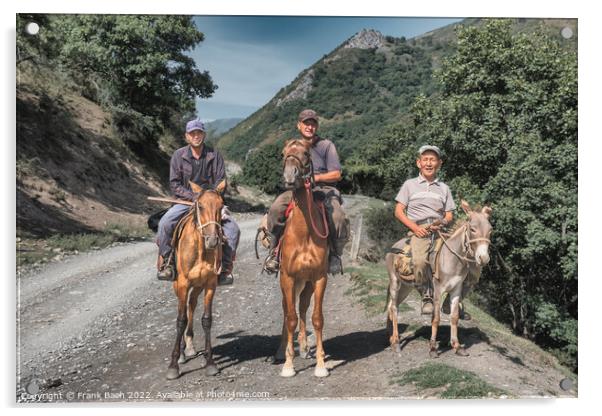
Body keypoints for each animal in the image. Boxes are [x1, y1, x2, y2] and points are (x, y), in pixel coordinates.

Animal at [164, 180, 225, 380]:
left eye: (221, 206)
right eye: (200, 206)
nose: (213, 241)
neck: (200, 250)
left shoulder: (210, 284)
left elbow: (206, 320)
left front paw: (210, 362)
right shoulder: (183, 284)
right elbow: (180, 320)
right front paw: (174, 365)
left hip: (197, 286)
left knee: (191, 304)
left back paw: (189, 346)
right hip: (179, 285)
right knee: (184, 309)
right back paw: (183, 353)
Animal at [386, 202, 490, 358]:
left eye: (490, 230)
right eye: (472, 229)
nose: (483, 259)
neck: (452, 259)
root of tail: (395, 245)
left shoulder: (456, 290)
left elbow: (454, 317)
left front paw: (457, 346)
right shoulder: (438, 290)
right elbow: (436, 318)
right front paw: (433, 349)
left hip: (405, 287)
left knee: (394, 306)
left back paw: (392, 339)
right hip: (394, 282)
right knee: (393, 308)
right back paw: (397, 343)